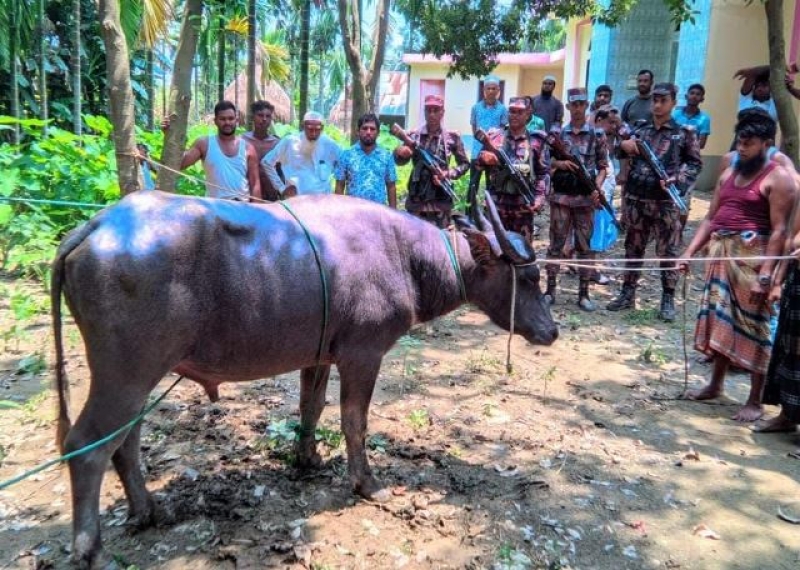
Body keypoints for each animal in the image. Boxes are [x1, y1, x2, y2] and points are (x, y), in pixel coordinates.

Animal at [52, 191, 557, 567]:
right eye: (531, 277)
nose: (552, 332)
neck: (404, 256)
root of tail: (95, 226)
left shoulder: (318, 355)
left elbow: (310, 408)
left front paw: (308, 458)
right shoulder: (362, 354)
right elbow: (354, 420)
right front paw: (367, 482)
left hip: (136, 378)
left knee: (126, 439)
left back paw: (149, 509)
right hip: (125, 373)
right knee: (88, 446)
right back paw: (93, 550)